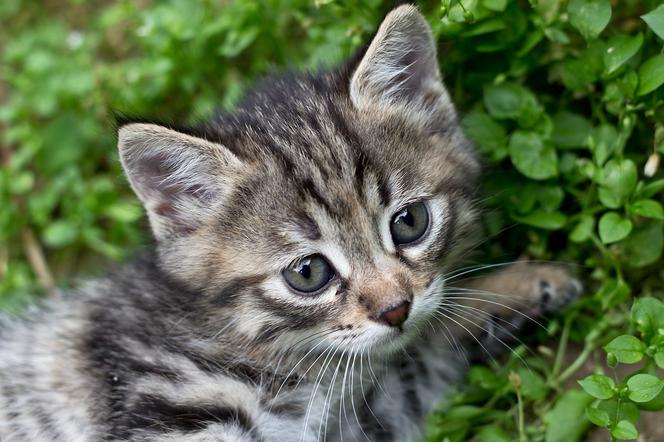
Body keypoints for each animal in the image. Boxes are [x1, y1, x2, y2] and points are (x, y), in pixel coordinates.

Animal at [0, 4, 580, 442]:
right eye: (307, 273)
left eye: (410, 222)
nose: (394, 309)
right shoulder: (171, 408)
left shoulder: (361, 418)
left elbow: (418, 360)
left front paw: (517, 286)